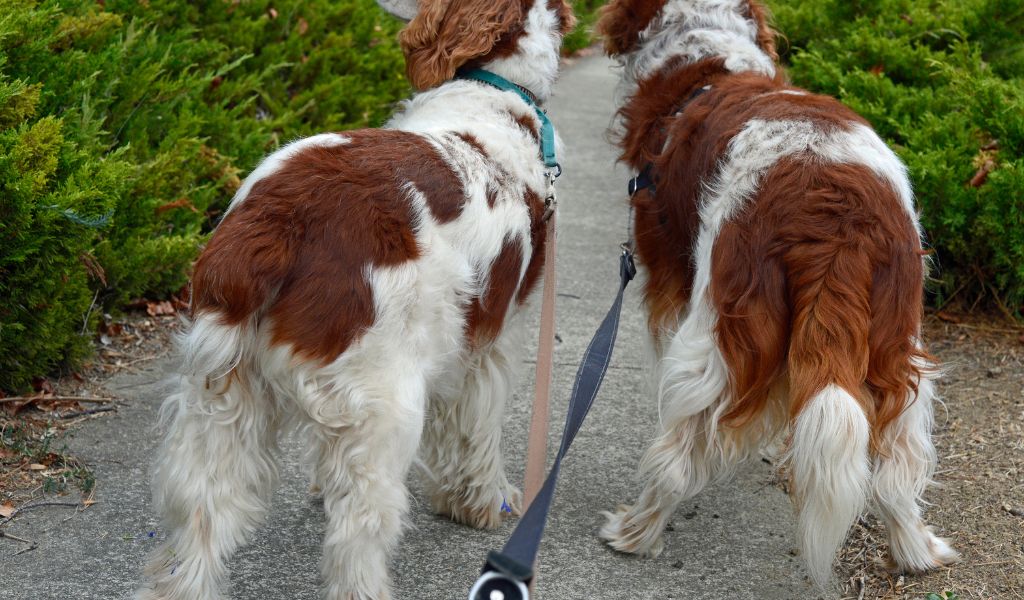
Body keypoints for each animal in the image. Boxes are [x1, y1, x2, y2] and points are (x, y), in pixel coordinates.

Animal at [132, 1, 573, 597]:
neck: (492, 86)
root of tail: (278, 215)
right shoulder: (492, 340)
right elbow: (478, 427)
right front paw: (482, 502)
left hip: (223, 396)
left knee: (201, 513)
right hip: (388, 403)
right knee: (358, 532)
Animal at [593, 0, 958, 585]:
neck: (708, 59)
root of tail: (836, 207)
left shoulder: (669, 280)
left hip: (721, 333)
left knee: (678, 455)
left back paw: (635, 531)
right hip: (897, 344)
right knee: (896, 469)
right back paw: (916, 550)